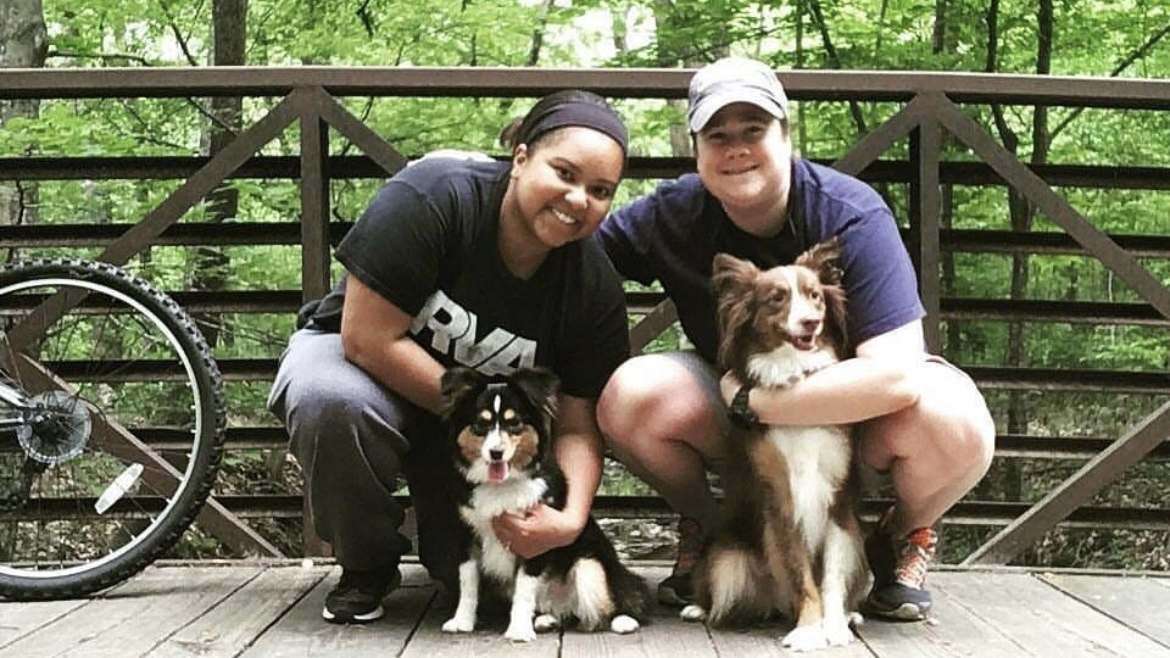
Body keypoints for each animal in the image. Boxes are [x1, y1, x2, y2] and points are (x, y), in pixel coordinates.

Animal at [437, 365, 645, 636]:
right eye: (480, 424)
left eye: (514, 422)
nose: (496, 453)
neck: (501, 486)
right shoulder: (466, 535)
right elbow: (468, 583)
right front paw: (462, 621)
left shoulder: (535, 538)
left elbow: (524, 589)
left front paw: (518, 631)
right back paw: (546, 619)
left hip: (589, 566)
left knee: (601, 611)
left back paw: (622, 620)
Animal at [678, 237, 870, 646]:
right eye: (777, 298)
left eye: (815, 296)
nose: (811, 322)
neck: (797, 381)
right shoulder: (781, 499)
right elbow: (801, 574)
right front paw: (809, 630)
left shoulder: (838, 501)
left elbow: (831, 575)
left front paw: (833, 625)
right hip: (728, 556)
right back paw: (699, 607)